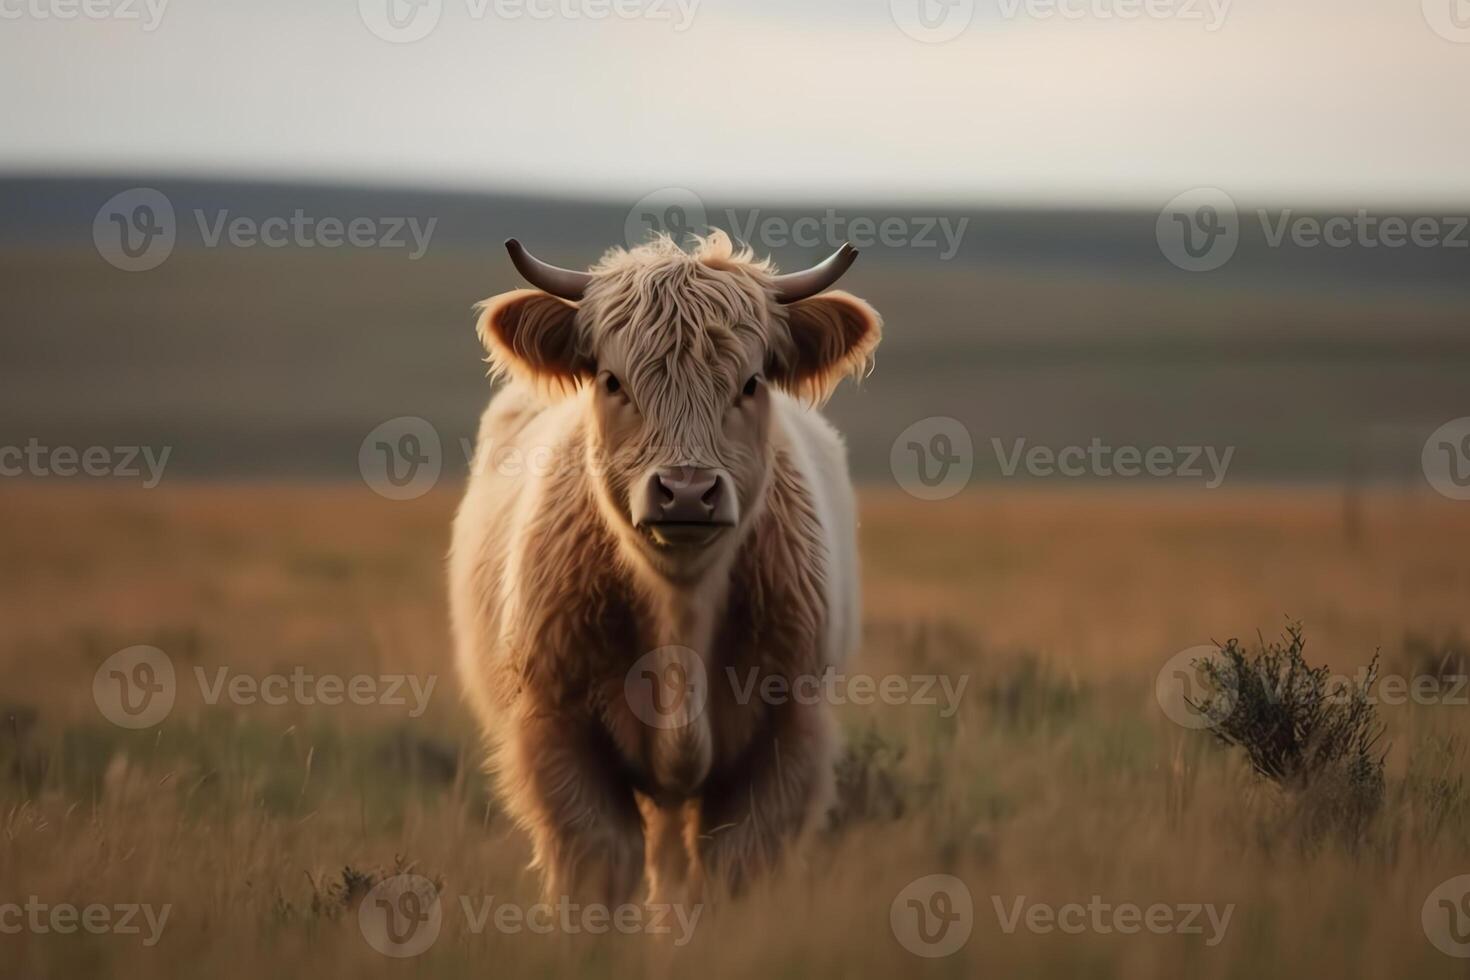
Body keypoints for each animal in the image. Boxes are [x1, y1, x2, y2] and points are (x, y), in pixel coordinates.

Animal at [446, 227, 876, 905]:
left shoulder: (788, 737)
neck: (682, 613)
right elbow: (599, 868)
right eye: (611, 380)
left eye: (751, 382)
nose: (687, 492)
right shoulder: (556, 733)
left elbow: (732, 873)